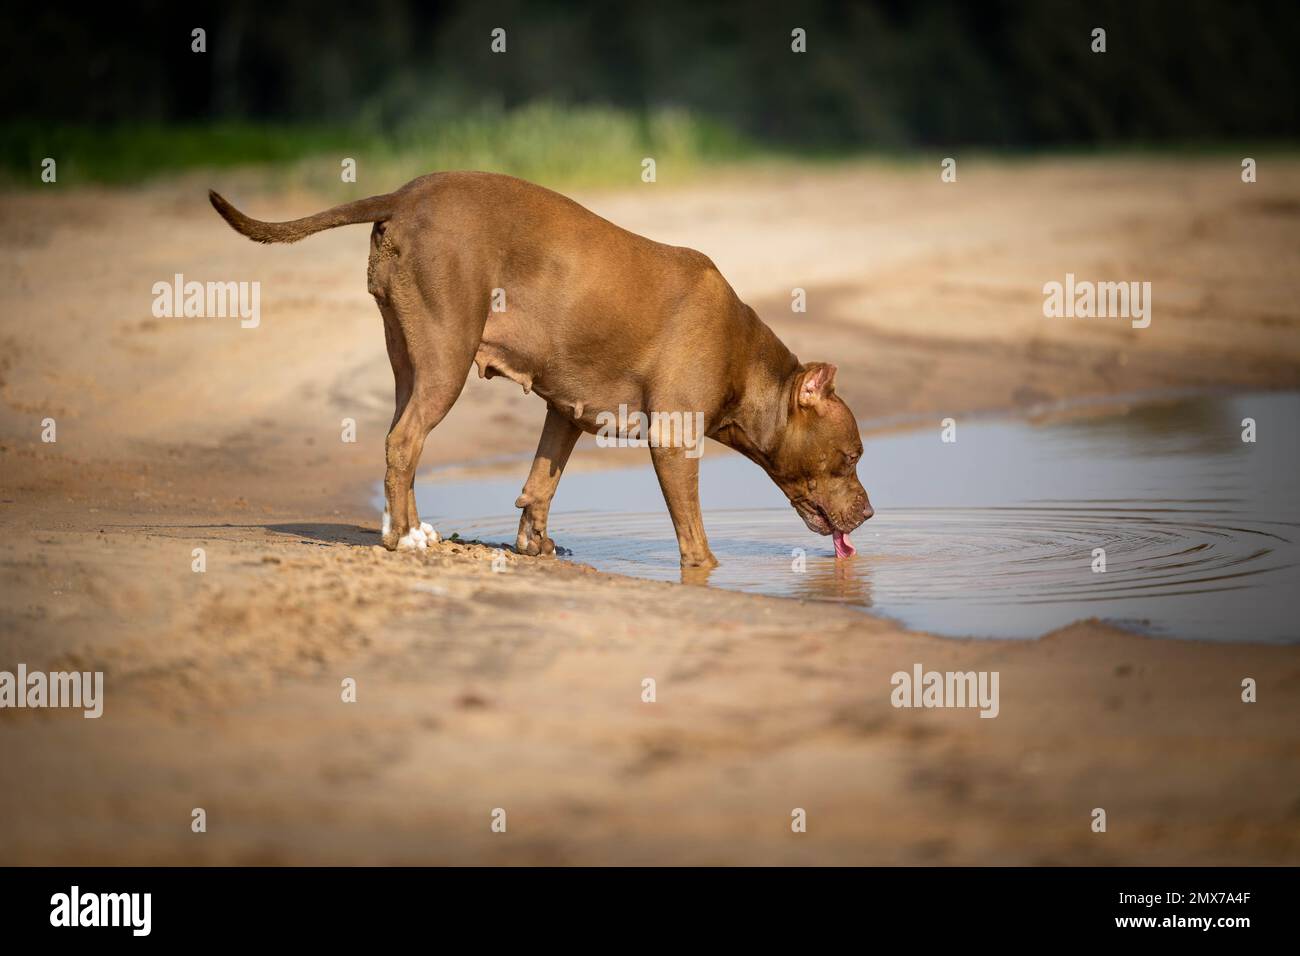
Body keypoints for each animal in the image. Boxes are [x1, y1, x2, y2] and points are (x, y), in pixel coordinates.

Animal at [213, 171, 873, 564]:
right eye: (850, 457)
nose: (869, 512)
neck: (749, 363)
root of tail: (408, 192)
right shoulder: (674, 439)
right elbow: (691, 527)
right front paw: (705, 569)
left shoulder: (566, 412)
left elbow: (540, 483)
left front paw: (536, 544)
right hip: (445, 362)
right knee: (404, 442)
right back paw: (405, 538)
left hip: (410, 359)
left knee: (403, 438)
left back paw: (408, 528)